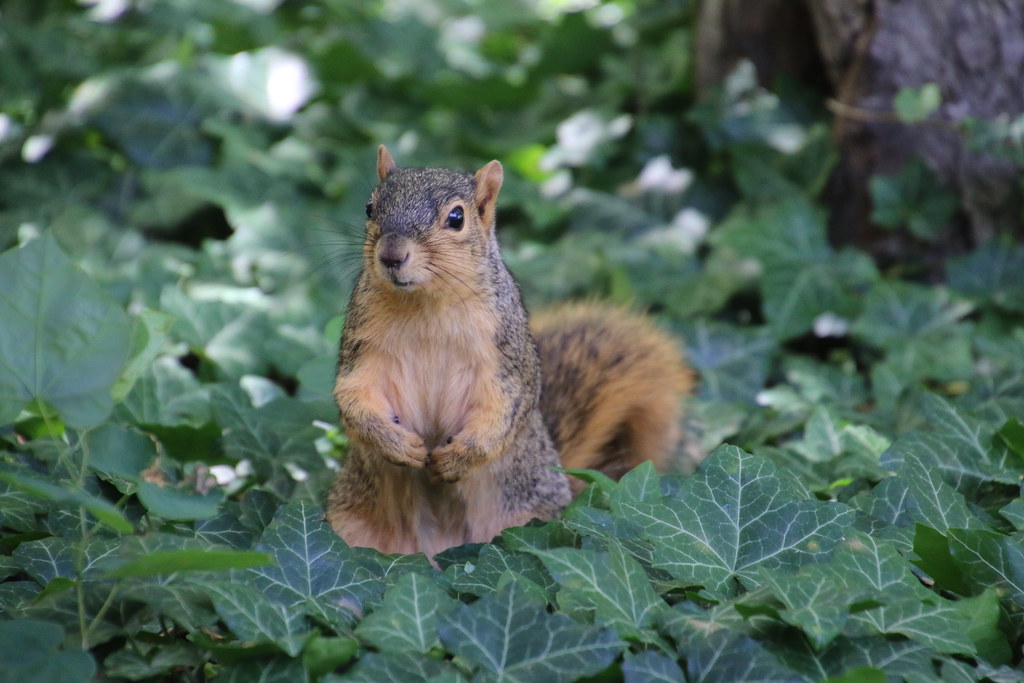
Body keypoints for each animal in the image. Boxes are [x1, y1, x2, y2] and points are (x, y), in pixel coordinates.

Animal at [326, 146, 693, 558]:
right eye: (370, 207)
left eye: (456, 218)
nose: (391, 255)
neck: (424, 305)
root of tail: (439, 552)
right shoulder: (362, 347)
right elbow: (353, 397)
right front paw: (397, 444)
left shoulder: (506, 355)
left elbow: (505, 410)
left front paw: (459, 459)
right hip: (352, 529)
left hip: (531, 523)